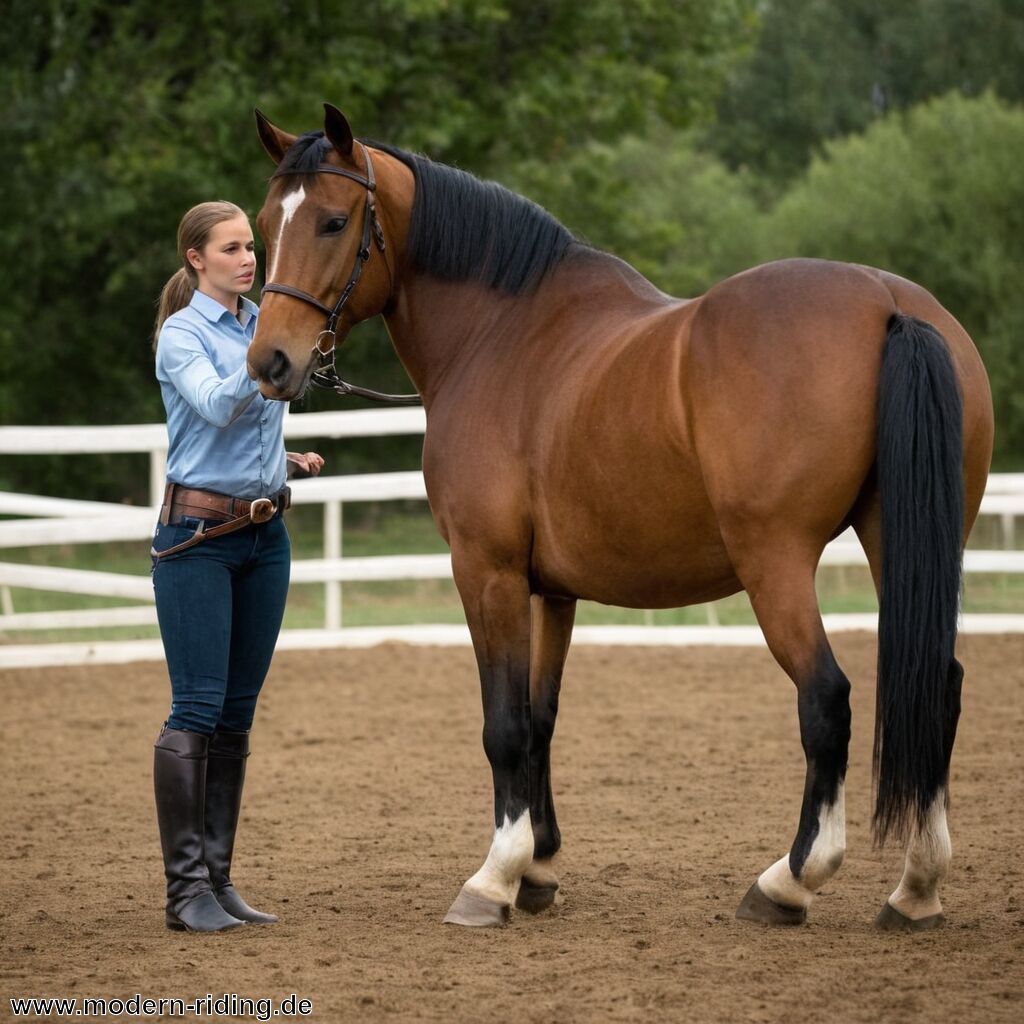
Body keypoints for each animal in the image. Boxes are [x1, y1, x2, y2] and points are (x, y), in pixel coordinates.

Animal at [247, 104, 994, 931]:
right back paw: (916, 887)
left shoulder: (486, 570)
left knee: (825, 698)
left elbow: (504, 724)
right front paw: (539, 869)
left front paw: (494, 878)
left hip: (776, 563)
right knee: (939, 686)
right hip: (899, 541)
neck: (499, 335)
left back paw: (790, 880)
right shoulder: (553, 588)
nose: (269, 363)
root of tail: (888, 305)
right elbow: (541, 717)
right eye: (262, 224)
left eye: (333, 221)